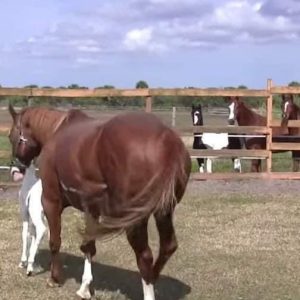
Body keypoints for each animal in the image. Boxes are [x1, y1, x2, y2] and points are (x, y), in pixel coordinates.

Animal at [8, 104, 192, 298]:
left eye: (12, 135)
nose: (15, 169)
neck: (56, 131)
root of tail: (168, 142)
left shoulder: (51, 201)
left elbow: (55, 241)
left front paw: (55, 278)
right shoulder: (91, 209)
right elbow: (89, 246)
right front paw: (85, 288)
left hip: (136, 220)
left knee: (145, 256)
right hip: (164, 212)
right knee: (168, 246)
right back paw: (154, 276)